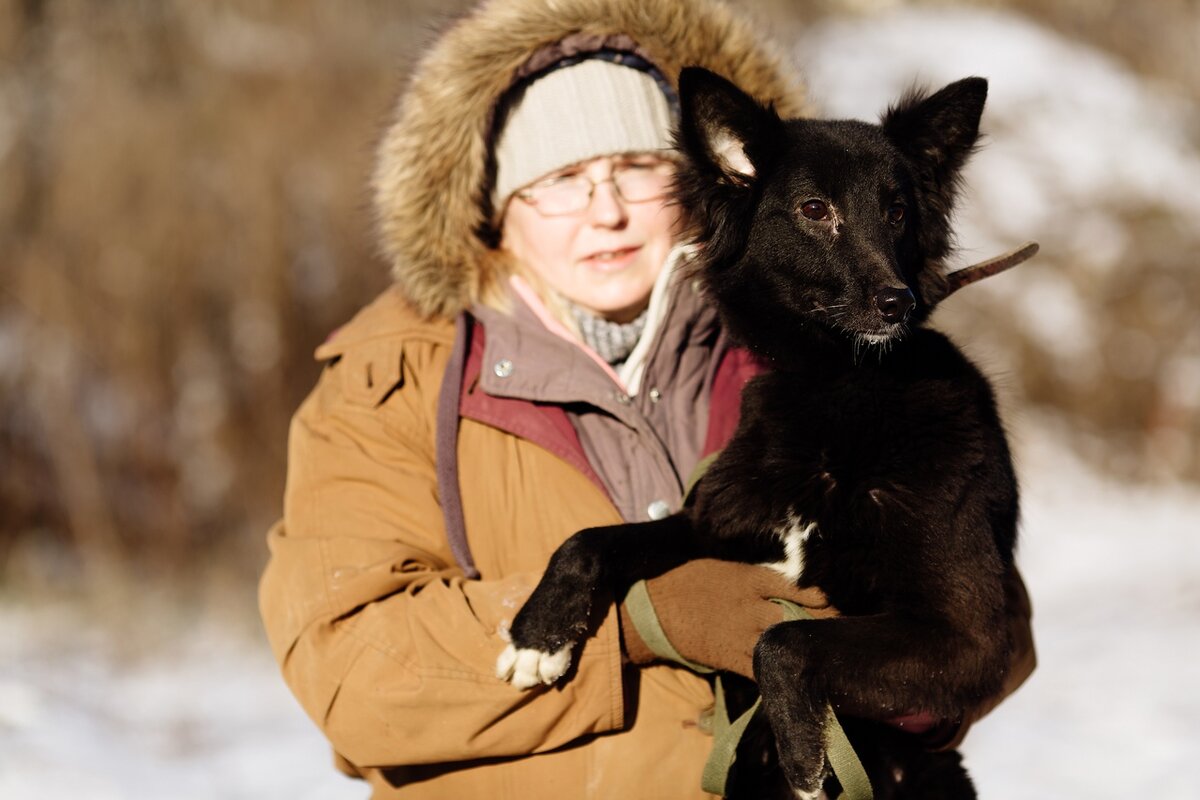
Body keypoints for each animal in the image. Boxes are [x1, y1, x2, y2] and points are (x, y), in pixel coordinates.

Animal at [496, 70, 1022, 800]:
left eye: (897, 212)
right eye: (814, 209)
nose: (899, 302)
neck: (835, 386)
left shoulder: (971, 637)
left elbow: (783, 641)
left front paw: (804, 756)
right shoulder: (717, 526)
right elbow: (593, 540)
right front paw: (537, 636)